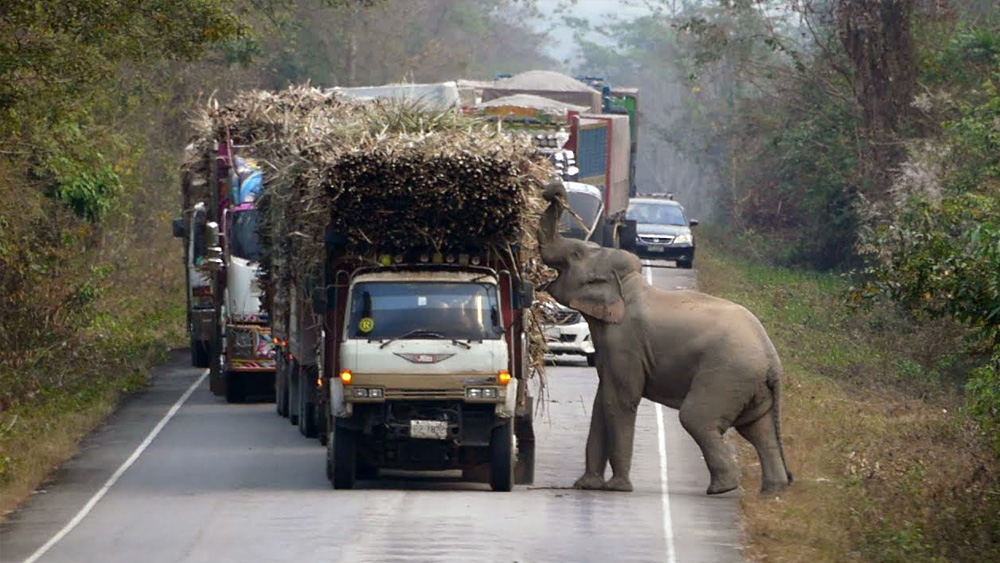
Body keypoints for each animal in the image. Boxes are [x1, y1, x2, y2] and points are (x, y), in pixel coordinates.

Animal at [536, 183, 792, 496]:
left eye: (574, 254)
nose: (551, 191)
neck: (628, 284)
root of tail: (772, 358)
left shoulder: (625, 341)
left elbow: (620, 399)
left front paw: (617, 488)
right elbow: (602, 400)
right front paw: (586, 485)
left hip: (727, 373)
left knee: (697, 418)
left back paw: (722, 488)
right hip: (751, 384)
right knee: (758, 429)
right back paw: (772, 491)